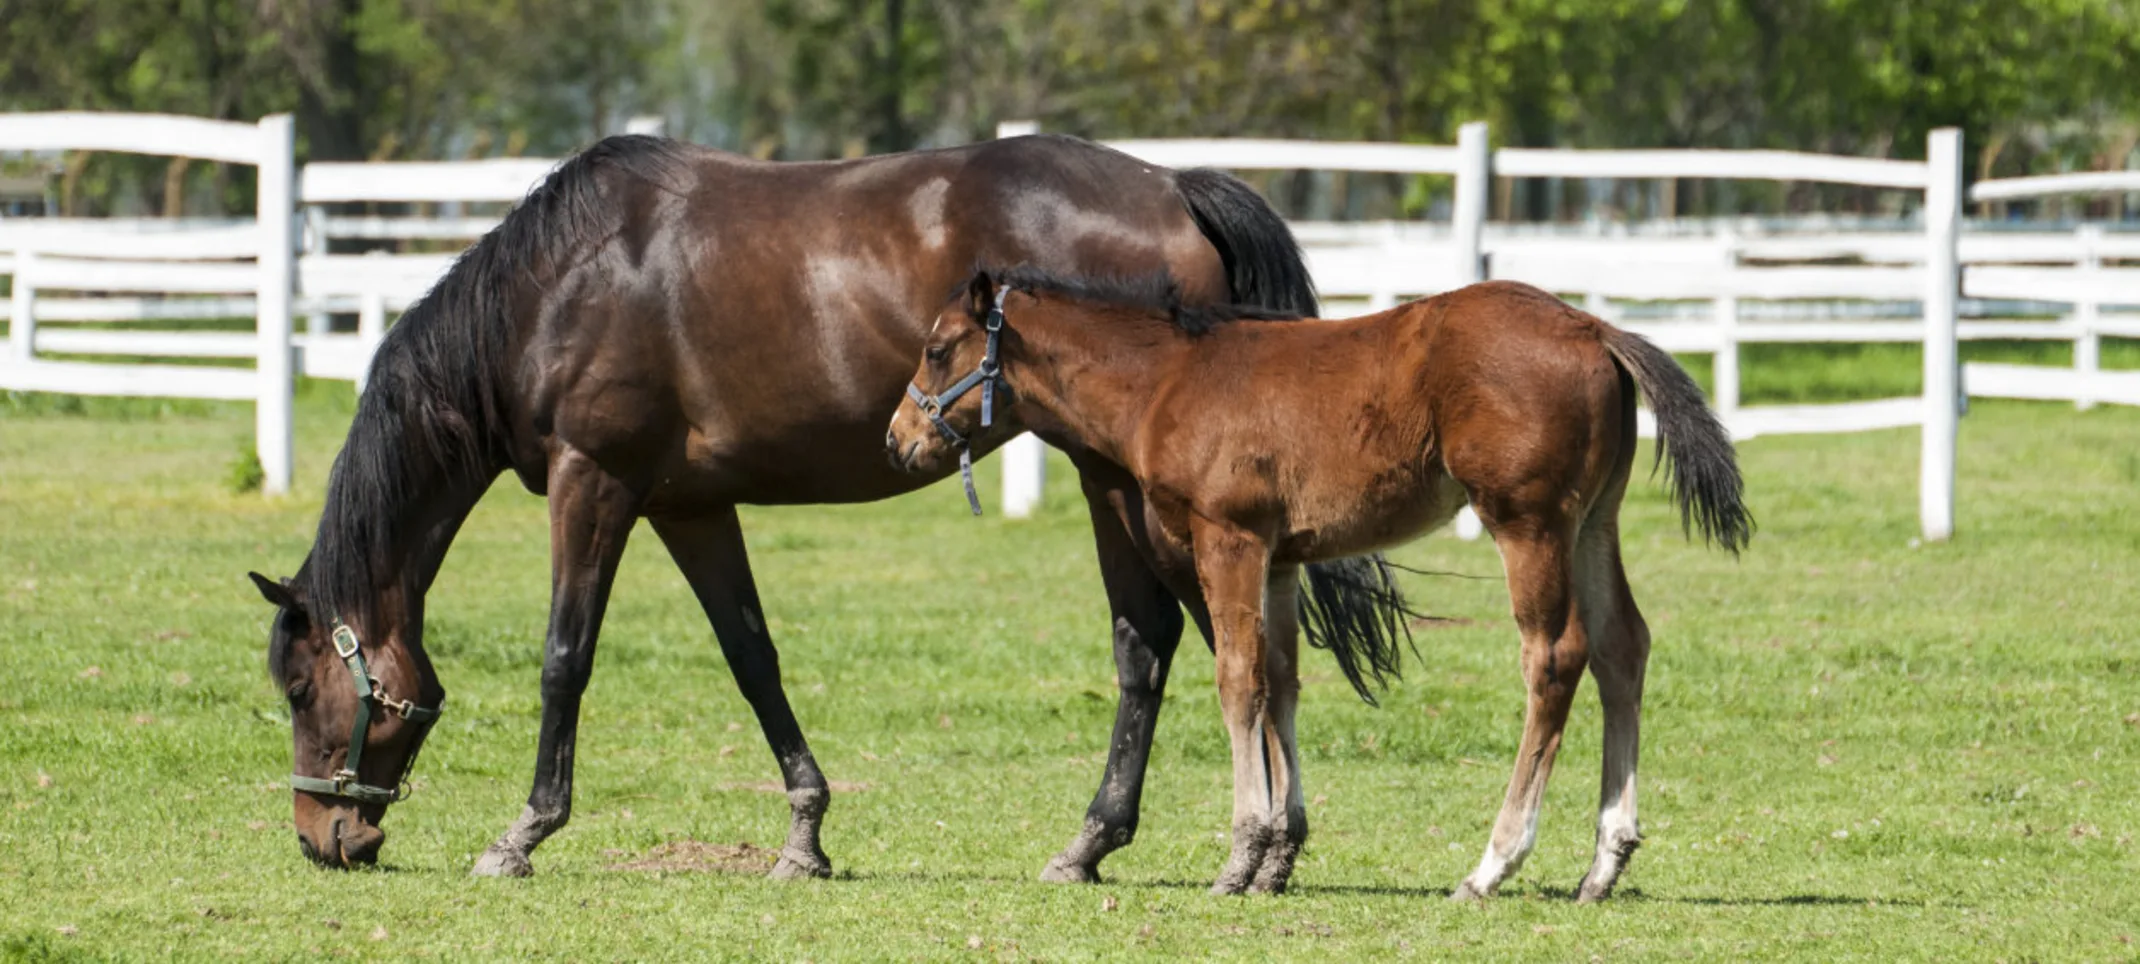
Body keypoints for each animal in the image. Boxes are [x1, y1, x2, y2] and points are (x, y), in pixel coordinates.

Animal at [246, 135, 1420, 882]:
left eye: (302, 689)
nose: (321, 839)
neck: (557, 286)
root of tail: (1174, 185)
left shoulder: (596, 483)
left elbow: (563, 659)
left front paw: (524, 833)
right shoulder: (689, 505)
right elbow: (752, 656)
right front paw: (804, 836)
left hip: (1125, 485)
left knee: (1173, 643)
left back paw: (1138, 842)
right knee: (1224, 649)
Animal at [885, 265, 1754, 895]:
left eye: (939, 347)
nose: (897, 440)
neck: (1165, 380)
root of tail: (1593, 327)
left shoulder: (1228, 539)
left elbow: (1237, 680)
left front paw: (1239, 856)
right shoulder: (1279, 557)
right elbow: (1280, 681)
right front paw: (1277, 854)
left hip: (1528, 522)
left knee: (1555, 657)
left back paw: (1493, 863)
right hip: (1594, 522)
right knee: (1622, 649)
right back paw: (1604, 862)